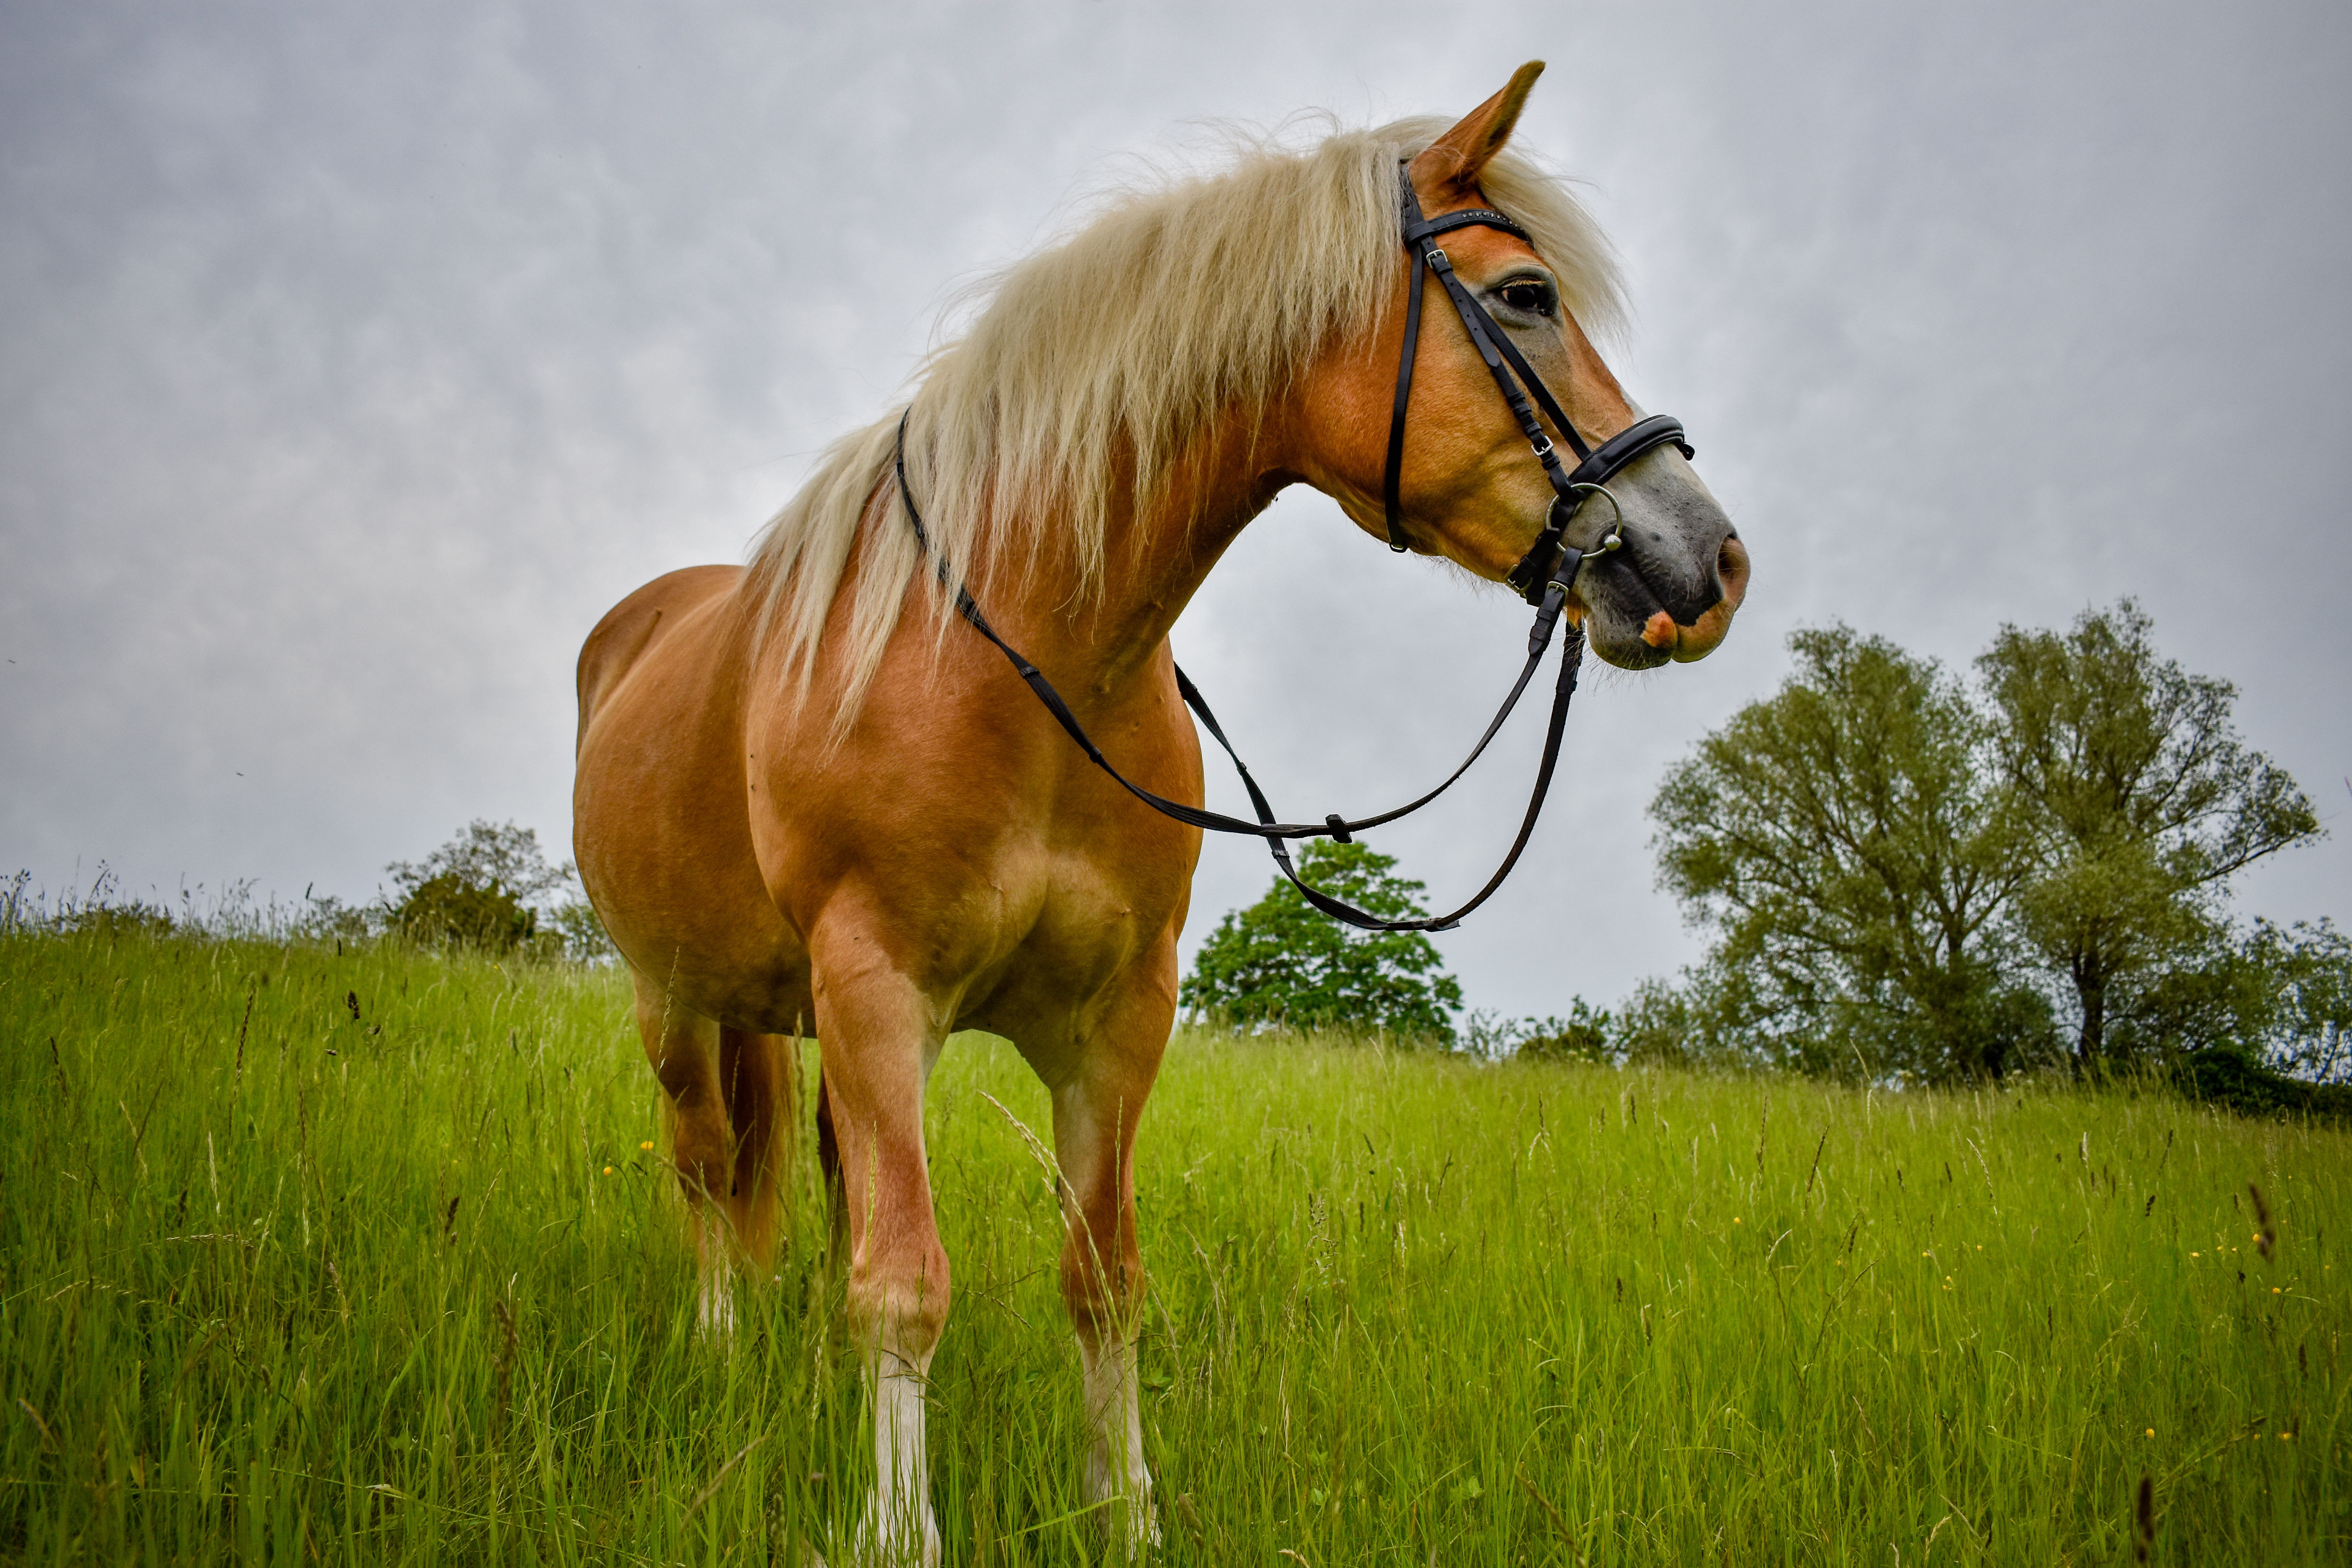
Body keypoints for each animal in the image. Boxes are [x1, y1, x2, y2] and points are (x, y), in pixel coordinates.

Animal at [572, 63, 1748, 1563]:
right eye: (1528, 294)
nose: (1707, 556)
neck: (1014, 653)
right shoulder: (879, 989)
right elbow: (902, 1284)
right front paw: (900, 1528)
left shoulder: (1114, 1018)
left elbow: (1102, 1277)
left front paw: (1120, 1508)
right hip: (672, 1000)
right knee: (707, 1168)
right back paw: (721, 1349)